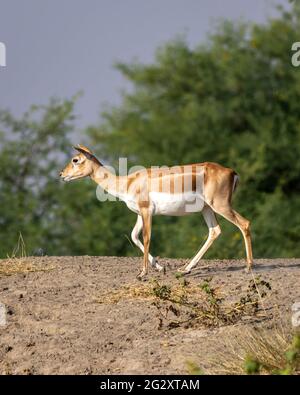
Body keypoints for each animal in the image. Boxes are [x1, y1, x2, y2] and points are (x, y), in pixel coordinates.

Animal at [60, 145, 253, 278]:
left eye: (75, 160)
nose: (61, 174)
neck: (128, 182)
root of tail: (232, 172)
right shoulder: (140, 213)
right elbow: (134, 236)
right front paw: (161, 267)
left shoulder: (147, 211)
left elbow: (146, 238)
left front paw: (143, 273)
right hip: (207, 209)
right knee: (215, 231)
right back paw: (185, 269)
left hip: (220, 205)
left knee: (244, 223)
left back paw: (249, 266)